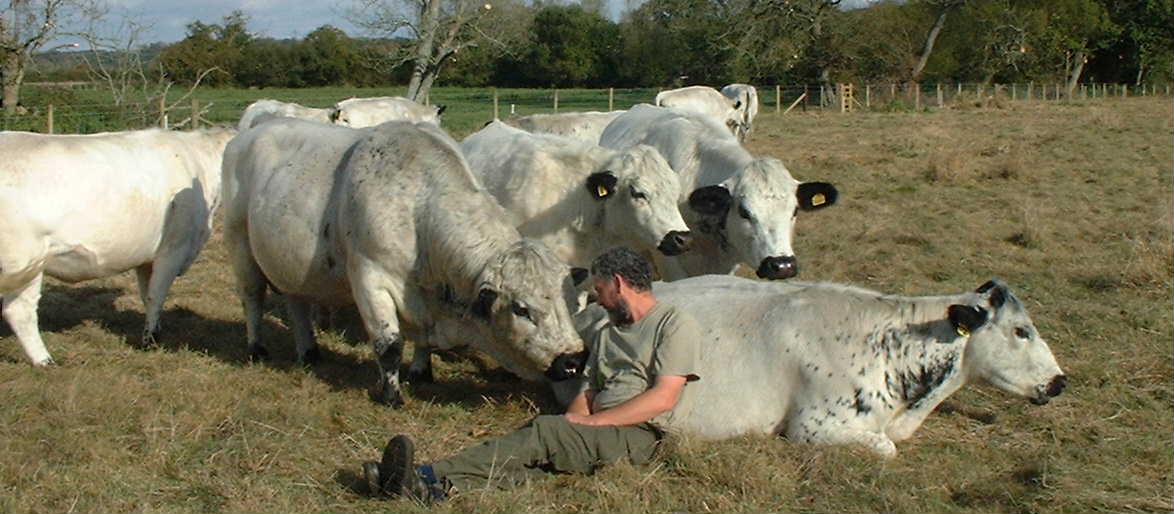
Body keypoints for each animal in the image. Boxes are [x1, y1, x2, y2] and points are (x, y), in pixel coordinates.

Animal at [0, 126, 238, 366]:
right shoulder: (173, 249)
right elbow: (156, 296)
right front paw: (150, 341)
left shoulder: (147, 258)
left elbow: (147, 295)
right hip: (27, 261)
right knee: (20, 311)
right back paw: (44, 360)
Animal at [220, 118, 587, 408]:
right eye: (521, 309)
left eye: (571, 302)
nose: (574, 359)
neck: (416, 209)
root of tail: (247, 134)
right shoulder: (369, 277)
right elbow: (389, 344)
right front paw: (391, 395)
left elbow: (421, 343)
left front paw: (422, 371)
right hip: (240, 245)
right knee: (252, 297)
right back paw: (257, 348)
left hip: (291, 263)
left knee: (297, 302)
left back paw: (309, 351)